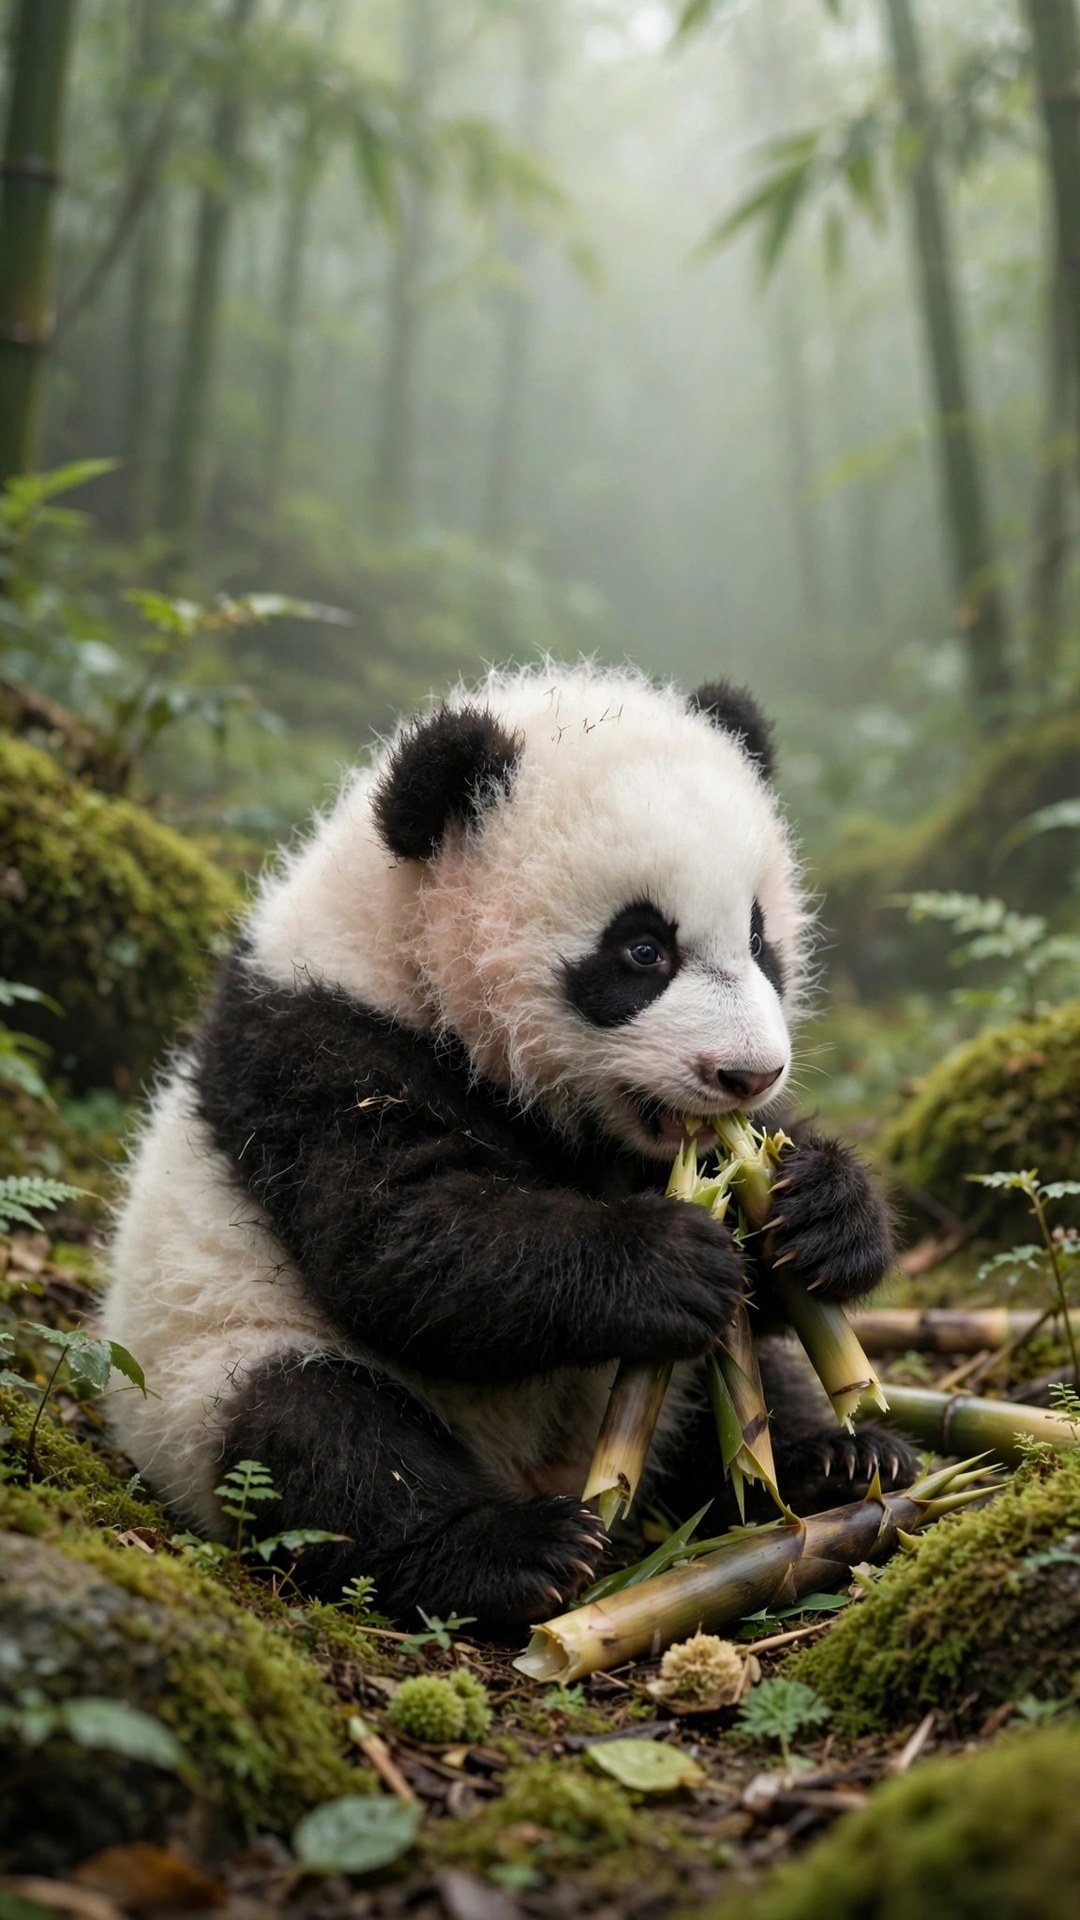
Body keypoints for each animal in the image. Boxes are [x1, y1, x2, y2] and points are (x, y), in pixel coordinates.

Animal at [104, 661, 916, 1627]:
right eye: (643, 950)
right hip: (208, 1374)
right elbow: (409, 1247)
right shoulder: (319, 1050)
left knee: (754, 1391)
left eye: (760, 940)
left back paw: (835, 1458)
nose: (746, 1074)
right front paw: (671, 1260)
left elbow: (765, 1241)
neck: (406, 958)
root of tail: (548, 1471)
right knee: (321, 1442)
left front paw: (821, 1209)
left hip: (673, 1396)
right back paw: (519, 1551)